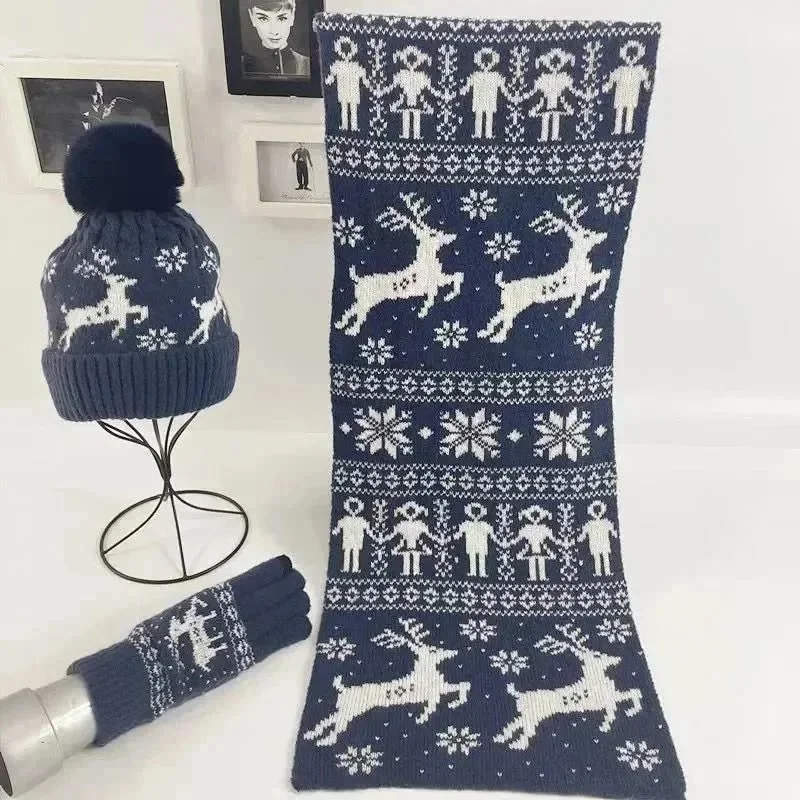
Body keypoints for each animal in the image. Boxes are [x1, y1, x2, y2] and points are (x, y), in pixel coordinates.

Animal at [303, 618, 471, 747]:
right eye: (433, 650)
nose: (452, 652)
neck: (427, 673)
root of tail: (343, 688)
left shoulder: (438, 690)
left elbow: (461, 685)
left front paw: (451, 704)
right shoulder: (435, 692)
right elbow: (454, 690)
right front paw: (426, 715)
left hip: (346, 709)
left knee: (330, 719)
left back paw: (314, 734)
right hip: (351, 710)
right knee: (338, 723)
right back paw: (326, 740)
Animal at [335, 193, 463, 336]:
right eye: (434, 233)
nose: (452, 235)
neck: (426, 260)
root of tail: (358, 279)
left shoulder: (438, 281)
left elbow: (457, 276)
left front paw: (446, 297)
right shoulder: (433, 284)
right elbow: (442, 289)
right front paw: (427, 309)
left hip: (362, 300)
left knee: (351, 310)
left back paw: (340, 325)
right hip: (366, 300)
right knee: (359, 315)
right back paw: (352, 330)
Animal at [477, 194, 610, 344]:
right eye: (587, 234)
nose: (604, 235)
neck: (578, 261)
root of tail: (505, 285)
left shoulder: (581, 287)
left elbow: (596, 282)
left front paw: (571, 311)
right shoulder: (583, 282)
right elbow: (604, 274)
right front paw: (594, 295)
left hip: (509, 305)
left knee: (498, 317)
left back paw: (485, 333)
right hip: (515, 305)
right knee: (506, 321)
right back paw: (497, 338)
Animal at [494, 624, 642, 751]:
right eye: (598, 655)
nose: (617, 659)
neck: (595, 678)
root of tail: (520, 694)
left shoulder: (611, 698)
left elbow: (631, 693)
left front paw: (626, 713)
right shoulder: (608, 699)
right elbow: (622, 702)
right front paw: (609, 723)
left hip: (528, 715)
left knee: (516, 724)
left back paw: (502, 737)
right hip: (533, 716)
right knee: (527, 730)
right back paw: (517, 744)